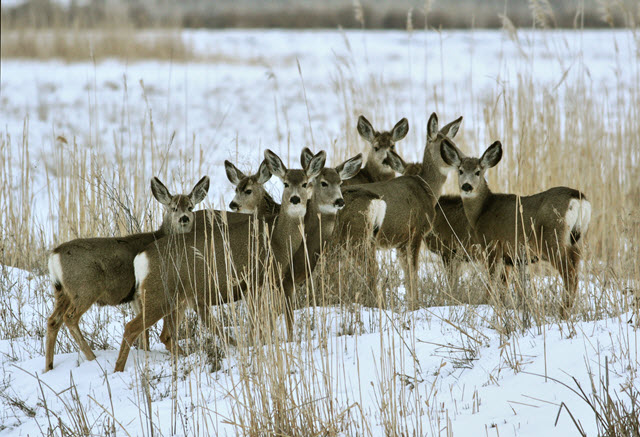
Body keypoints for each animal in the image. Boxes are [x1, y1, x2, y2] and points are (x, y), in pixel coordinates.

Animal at [45, 176, 210, 372]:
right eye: (173, 207)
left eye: (190, 207)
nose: (184, 218)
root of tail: (54, 255)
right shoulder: (142, 293)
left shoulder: (135, 297)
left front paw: (144, 352)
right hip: (85, 288)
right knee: (69, 318)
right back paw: (92, 358)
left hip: (62, 291)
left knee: (53, 320)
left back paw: (48, 367)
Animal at [114, 149, 324, 368]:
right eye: (285, 183)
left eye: (305, 183)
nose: (295, 199)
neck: (276, 239)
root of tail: (142, 257)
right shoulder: (254, 280)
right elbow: (258, 321)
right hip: (159, 294)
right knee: (131, 328)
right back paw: (119, 369)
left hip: (177, 297)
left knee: (165, 334)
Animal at [442, 138, 592, 316]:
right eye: (460, 170)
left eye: (478, 172)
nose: (466, 186)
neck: (482, 211)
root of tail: (579, 199)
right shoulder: (509, 257)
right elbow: (504, 285)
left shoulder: (491, 244)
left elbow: (491, 280)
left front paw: (485, 304)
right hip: (577, 240)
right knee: (575, 272)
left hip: (552, 238)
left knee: (570, 274)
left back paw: (563, 312)